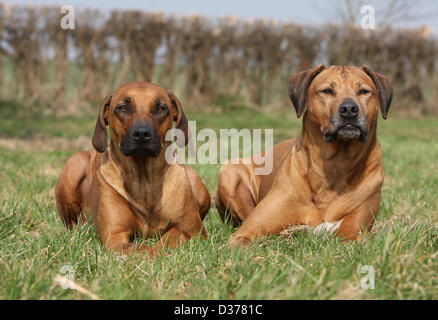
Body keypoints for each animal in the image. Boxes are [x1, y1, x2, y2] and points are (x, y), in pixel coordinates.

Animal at [55, 82, 210, 255]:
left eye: (161, 107)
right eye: (122, 107)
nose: (142, 133)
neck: (144, 180)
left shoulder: (193, 231)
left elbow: (170, 237)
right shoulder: (114, 235)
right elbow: (138, 247)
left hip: (198, 186)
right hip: (74, 164)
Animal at [216, 65, 394, 245]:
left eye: (364, 91)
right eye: (327, 91)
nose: (349, 109)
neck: (335, 165)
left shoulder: (355, 234)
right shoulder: (245, 232)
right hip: (229, 171)